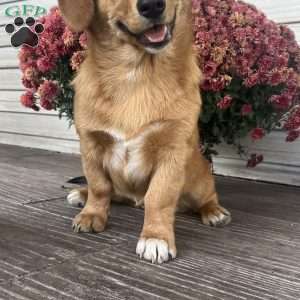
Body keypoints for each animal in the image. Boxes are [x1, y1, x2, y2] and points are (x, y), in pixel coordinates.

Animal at [59, 0, 232, 262]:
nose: (152, 5)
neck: (137, 73)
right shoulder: (90, 145)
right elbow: (99, 187)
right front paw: (92, 214)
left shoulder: (172, 151)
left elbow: (158, 197)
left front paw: (155, 237)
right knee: (109, 192)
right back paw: (81, 194)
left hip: (198, 183)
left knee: (207, 197)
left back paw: (214, 212)